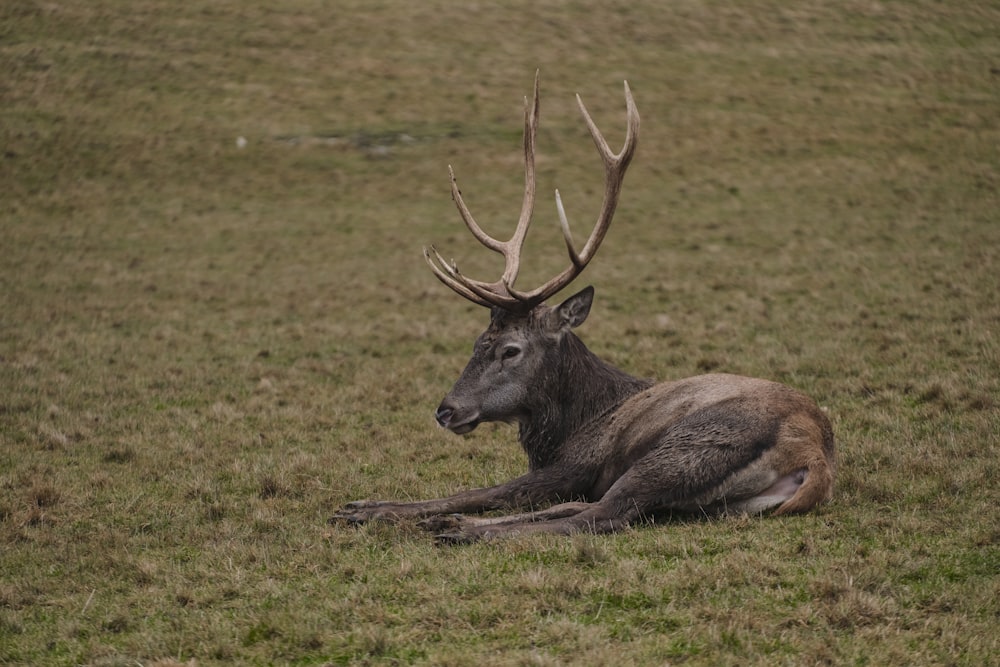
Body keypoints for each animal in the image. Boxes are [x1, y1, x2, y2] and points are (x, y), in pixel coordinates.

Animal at [334, 73, 836, 544]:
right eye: (478, 341)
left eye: (511, 350)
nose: (445, 411)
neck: (572, 425)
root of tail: (813, 453)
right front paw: (365, 505)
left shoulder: (574, 466)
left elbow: (485, 490)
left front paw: (371, 509)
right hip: (712, 496)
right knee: (590, 509)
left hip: (687, 449)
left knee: (602, 514)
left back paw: (464, 530)